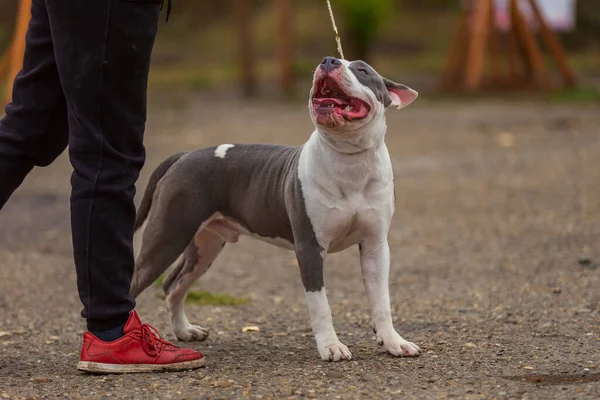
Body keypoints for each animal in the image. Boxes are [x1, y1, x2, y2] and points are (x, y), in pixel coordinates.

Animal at [130, 57, 422, 362]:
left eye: (362, 70)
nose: (329, 60)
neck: (348, 159)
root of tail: (184, 155)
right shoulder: (309, 247)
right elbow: (320, 304)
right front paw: (331, 346)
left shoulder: (375, 245)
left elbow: (381, 300)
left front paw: (393, 342)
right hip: (168, 236)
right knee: (137, 281)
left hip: (204, 246)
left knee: (172, 284)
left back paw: (185, 331)